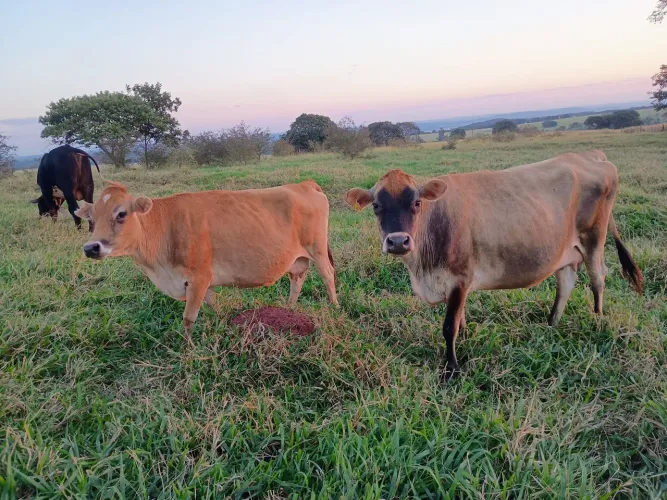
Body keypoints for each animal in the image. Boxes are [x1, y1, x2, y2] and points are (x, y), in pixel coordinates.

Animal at [74, 180, 338, 345]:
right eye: (91, 217)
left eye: (121, 214)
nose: (91, 247)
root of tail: (303, 184)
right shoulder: (204, 280)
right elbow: (213, 304)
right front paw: (223, 321)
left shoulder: (198, 278)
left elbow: (189, 318)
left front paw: (188, 347)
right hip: (298, 257)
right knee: (297, 278)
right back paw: (289, 310)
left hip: (317, 249)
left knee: (327, 276)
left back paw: (334, 306)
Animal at [344, 150, 644, 382]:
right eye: (377, 206)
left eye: (416, 202)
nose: (398, 241)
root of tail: (591, 156)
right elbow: (460, 320)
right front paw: (464, 343)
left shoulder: (460, 279)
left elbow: (449, 326)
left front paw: (451, 369)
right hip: (566, 251)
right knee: (567, 283)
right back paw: (551, 324)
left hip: (594, 239)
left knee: (598, 278)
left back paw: (597, 319)